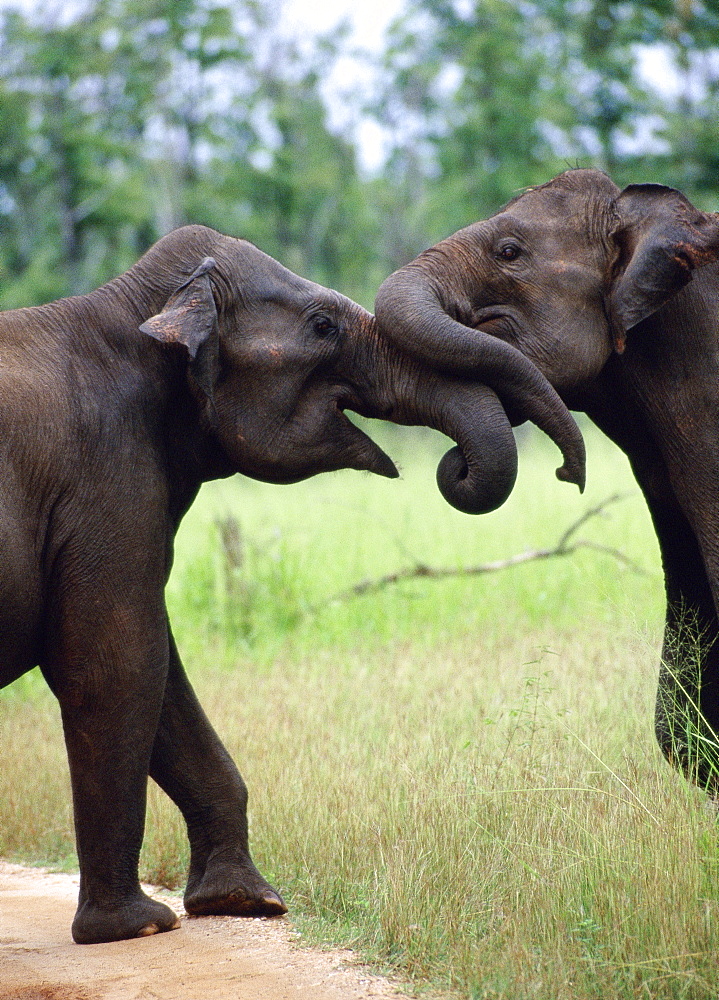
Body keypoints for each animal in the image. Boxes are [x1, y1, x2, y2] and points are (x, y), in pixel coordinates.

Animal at [0, 223, 584, 940]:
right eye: (323, 325)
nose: (567, 474)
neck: (133, 307)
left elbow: (159, 672)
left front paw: (246, 902)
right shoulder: (103, 478)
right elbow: (115, 663)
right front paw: (137, 927)